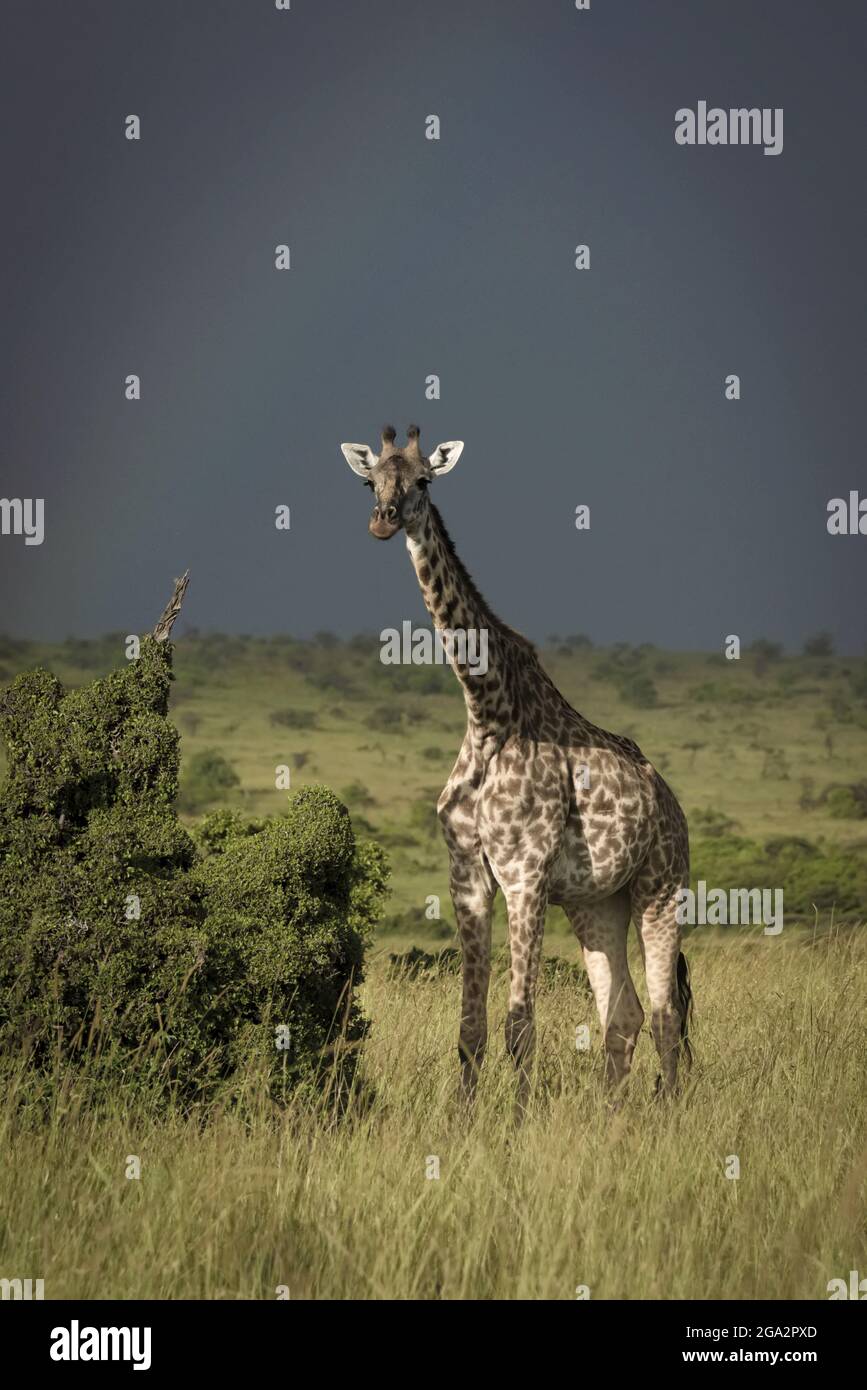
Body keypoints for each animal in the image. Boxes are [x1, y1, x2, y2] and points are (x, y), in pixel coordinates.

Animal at [341, 425, 693, 1114]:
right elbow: (470, 1025)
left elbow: (519, 1023)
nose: (383, 520)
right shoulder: (469, 876)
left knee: (666, 1012)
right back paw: (610, 1113)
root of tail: (671, 802)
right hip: (597, 902)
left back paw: (667, 1110)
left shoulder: (525, 875)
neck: (487, 715)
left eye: (424, 480)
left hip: (661, 886)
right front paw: (464, 1115)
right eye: (370, 481)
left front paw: (520, 1118)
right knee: (625, 1014)